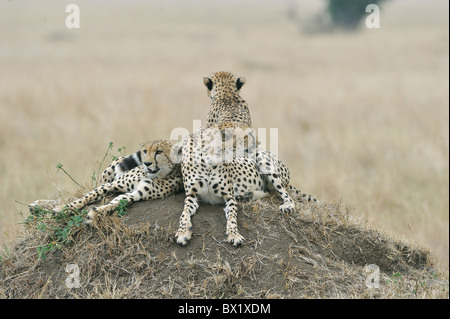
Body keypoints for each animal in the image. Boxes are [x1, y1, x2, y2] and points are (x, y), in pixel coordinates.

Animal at [51, 140, 184, 225]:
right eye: (145, 151)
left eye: (159, 152)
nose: (146, 163)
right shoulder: (112, 184)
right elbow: (87, 197)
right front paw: (63, 209)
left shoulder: (137, 194)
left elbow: (116, 203)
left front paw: (95, 215)